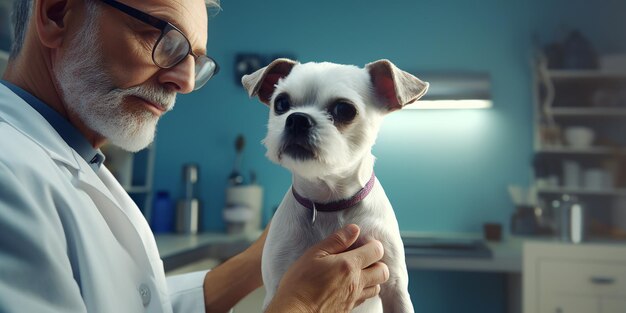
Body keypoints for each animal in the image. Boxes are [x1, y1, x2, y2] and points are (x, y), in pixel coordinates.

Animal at [241, 58, 426, 310]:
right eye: (281, 103)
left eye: (344, 109)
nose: (297, 119)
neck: (328, 202)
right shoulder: (277, 287)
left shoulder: (395, 287)